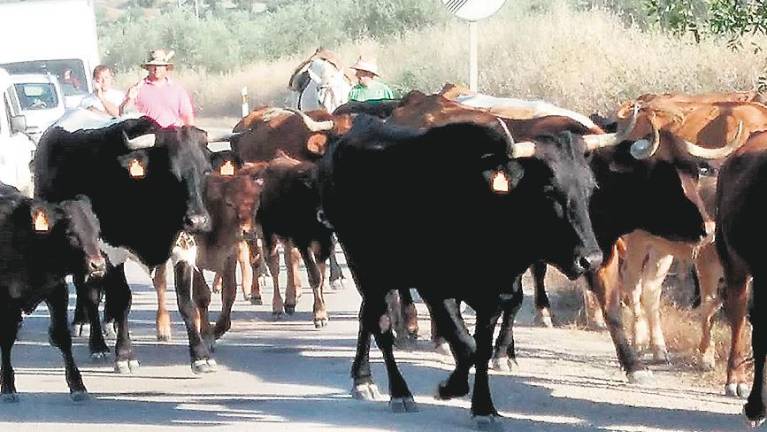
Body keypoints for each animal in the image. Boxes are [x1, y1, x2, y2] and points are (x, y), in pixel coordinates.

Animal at [0, 184, 106, 400]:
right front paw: (7, 386)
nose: (98, 265)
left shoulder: (57, 291)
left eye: (97, 233)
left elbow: (61, 336)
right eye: (70, 233)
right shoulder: (6, 297)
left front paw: (77, 385)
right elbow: (6, 338)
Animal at [34, 115, 218, 374]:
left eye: (206, 172)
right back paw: (95, 342)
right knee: (89, 293)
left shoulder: (184, 249)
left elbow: (186, 304)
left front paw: (200, 356)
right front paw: (124, 355)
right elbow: (123, 300)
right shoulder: (113, 251)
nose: (197, 221)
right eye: (171, 173)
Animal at [320, 113, 608, 426]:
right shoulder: (435, 290)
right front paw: (449, 388)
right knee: (381, 327)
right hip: (365, 269)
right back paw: (398, 392)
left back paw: (363, 379)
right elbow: (466, 346)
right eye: (549, 191)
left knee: (366, 319)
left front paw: (484, 408)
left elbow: (480, 349)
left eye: (590, 189)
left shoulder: (495, 297)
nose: (590, 259)